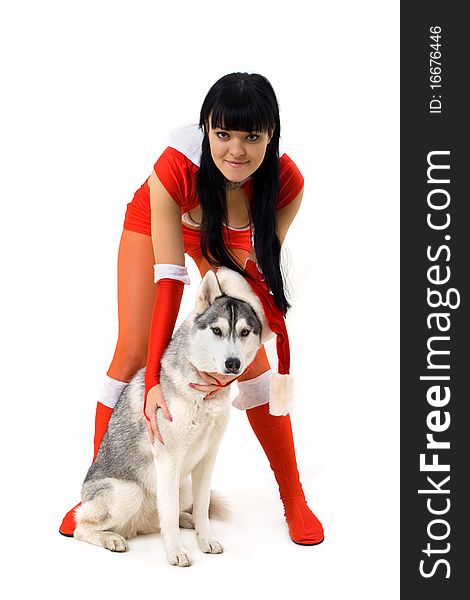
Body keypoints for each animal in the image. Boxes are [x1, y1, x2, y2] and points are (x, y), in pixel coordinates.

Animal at [72, 268, 264, 568]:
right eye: (217, 330)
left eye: (244, 332)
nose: (233, 363)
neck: (203, 393)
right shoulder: (168, 458)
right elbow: (170, 514)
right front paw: (176, 552)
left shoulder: (208, 457)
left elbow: (200, 506)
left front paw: (205, 538)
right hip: (129, 492)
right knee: (82, 528)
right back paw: (111, 538)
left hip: (181, 487)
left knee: (162, 518)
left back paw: (186, 521)